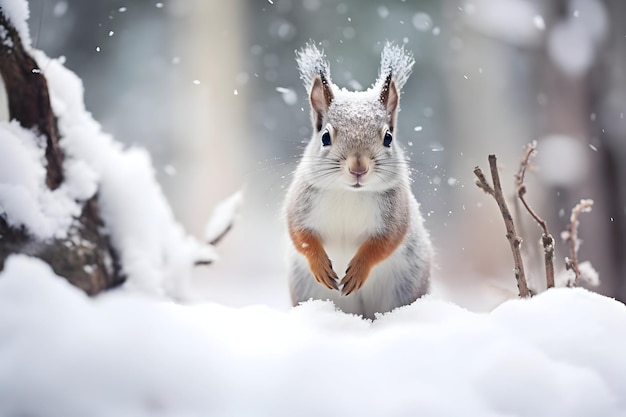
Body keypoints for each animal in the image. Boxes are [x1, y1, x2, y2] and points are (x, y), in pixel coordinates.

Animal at [284, 41, 434, 318]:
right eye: (325, 137)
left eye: (388, 137)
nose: (358, 168)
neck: (349, 193)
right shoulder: (301, 201)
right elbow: (300, 234)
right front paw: (320, 265)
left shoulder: (395, 211)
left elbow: (386, 242)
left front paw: (359, 269)